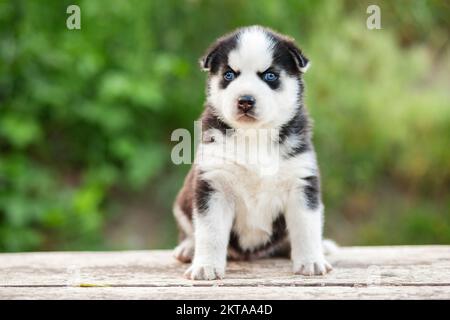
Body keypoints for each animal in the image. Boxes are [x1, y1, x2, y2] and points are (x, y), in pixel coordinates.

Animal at [174, 25, 332, 280]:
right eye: (229, 75)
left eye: (270, 76)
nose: (245, 101)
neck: (254, 136)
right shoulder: (214, 184)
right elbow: (210, 233)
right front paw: (206, 266)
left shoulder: (301, 182)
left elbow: (306, 228)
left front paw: (311, 261)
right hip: (182, 202)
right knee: (190, 230)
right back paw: (188, 248)